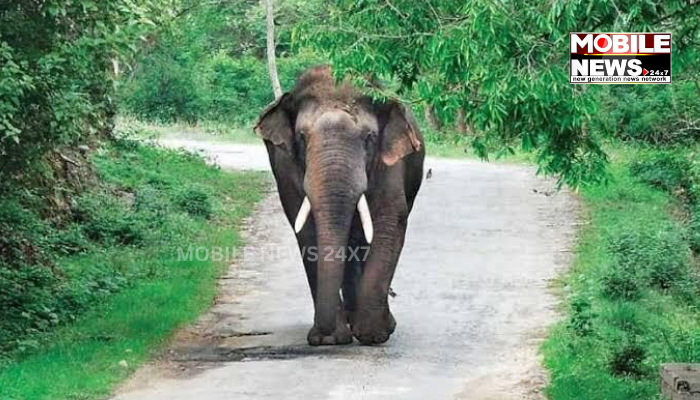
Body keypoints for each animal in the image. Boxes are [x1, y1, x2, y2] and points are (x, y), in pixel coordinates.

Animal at [254, 66, 425, 346]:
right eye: (302, 137)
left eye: (369, 138)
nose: (321, 335)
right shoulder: (285, 166)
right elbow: (306, 230)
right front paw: (330, 339)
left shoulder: (390, 163)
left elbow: (388, 222)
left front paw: (373, 335)